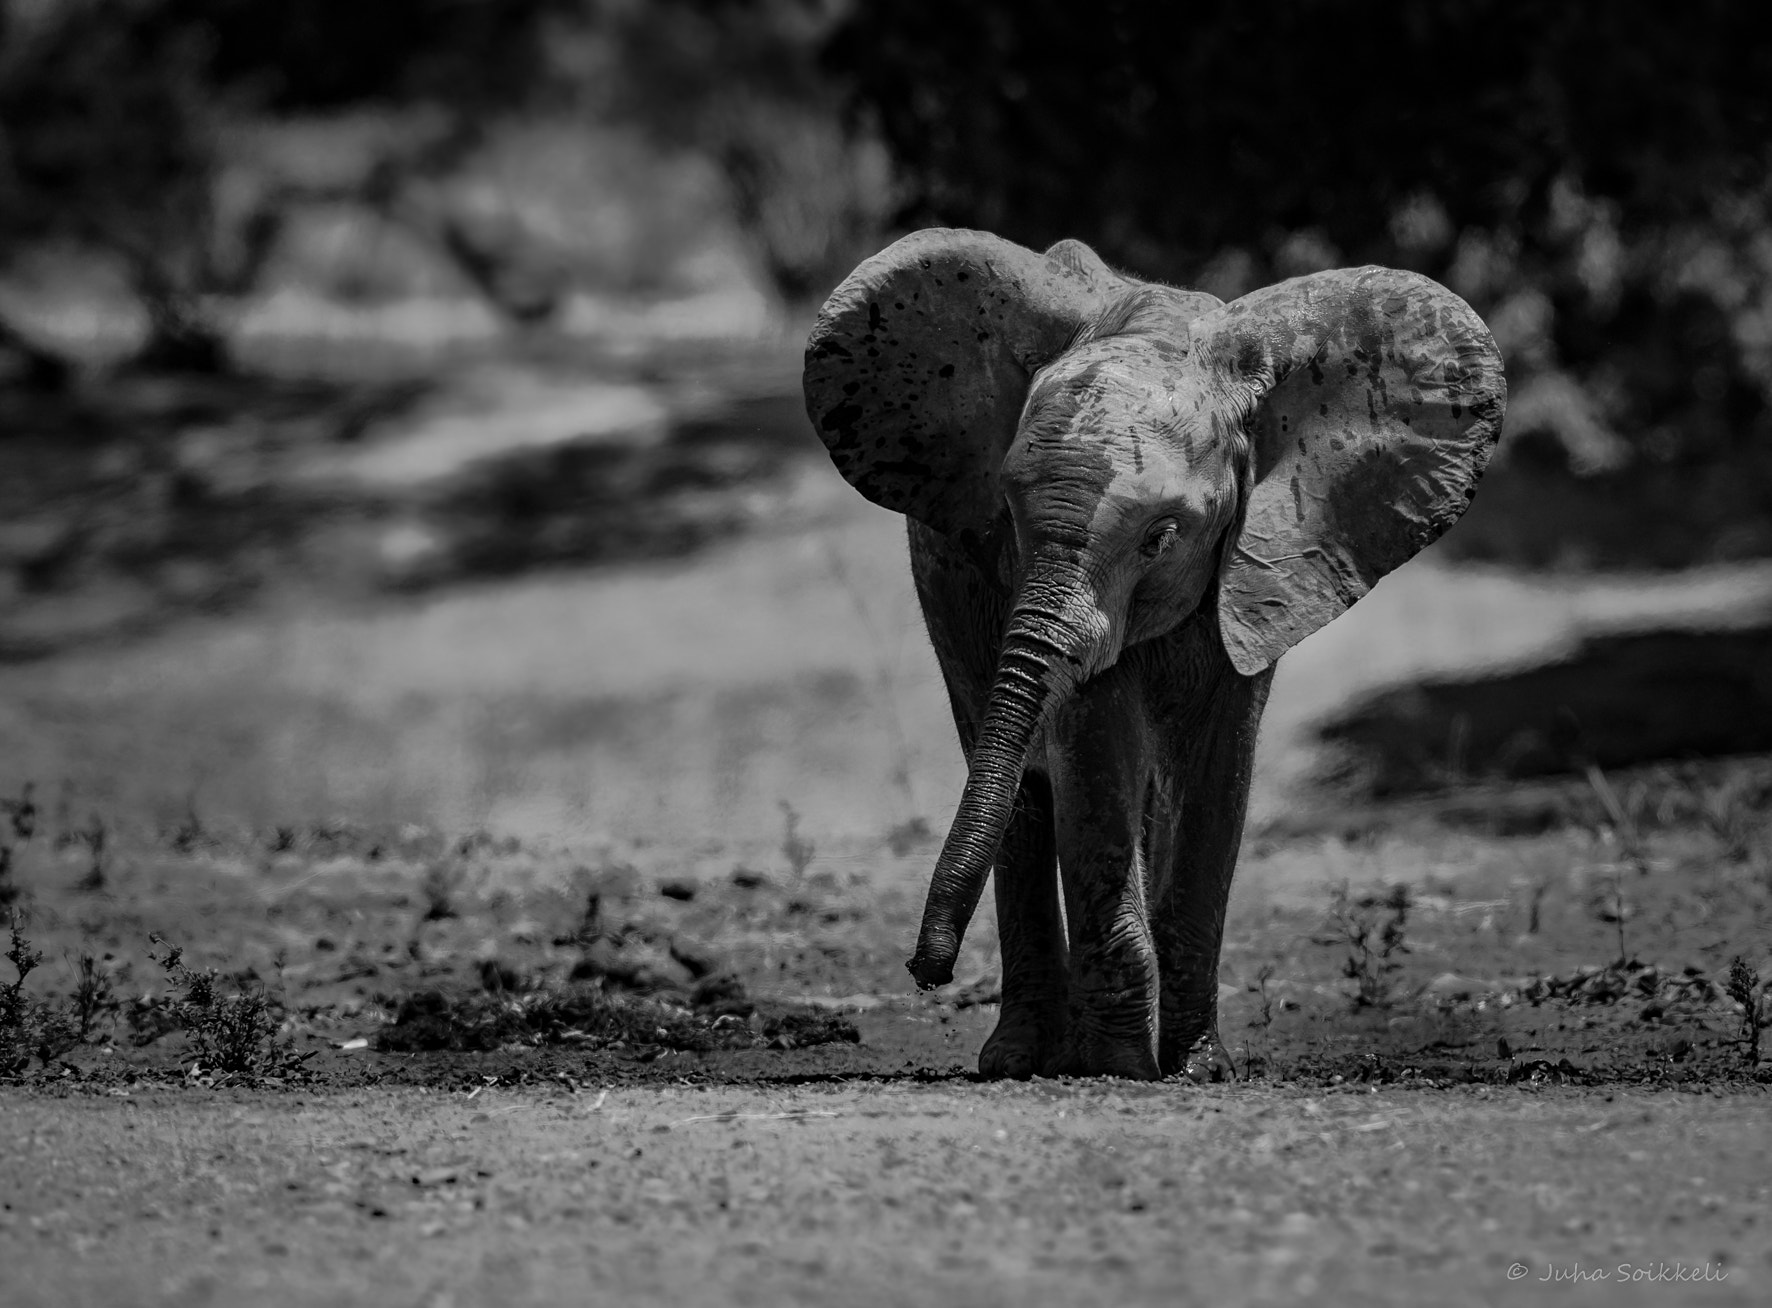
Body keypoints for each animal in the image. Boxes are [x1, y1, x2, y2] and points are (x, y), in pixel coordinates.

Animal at [804, 226, 1509, 1077]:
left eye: (1161, 536)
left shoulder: (1258, 568)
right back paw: (1024, 1058)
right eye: (1006, 509)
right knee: (1013, 776)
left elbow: (1215, 755)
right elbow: (1092, 739)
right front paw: (1120, 1064)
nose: (925, 971)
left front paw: (1200, 1067)